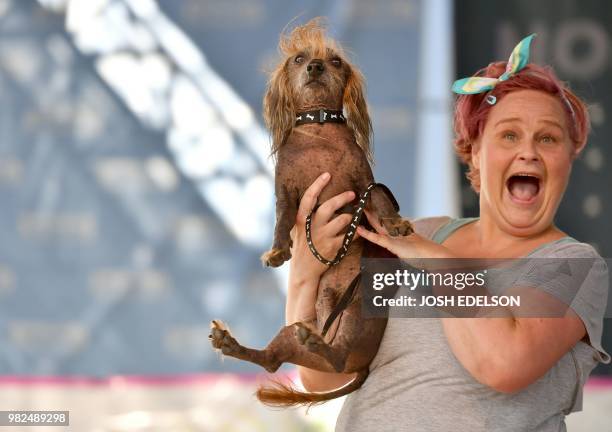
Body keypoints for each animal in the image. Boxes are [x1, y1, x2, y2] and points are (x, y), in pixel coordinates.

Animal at [208, 16, 414, 406]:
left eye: (335, 61)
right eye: (299, 59)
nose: (316, 67)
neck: (319, 129)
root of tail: (361, 365)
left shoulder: (365, 185)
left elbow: (380, 201)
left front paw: (395, 224)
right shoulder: (287, 196)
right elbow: (281, 222)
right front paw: (277, 251)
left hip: (358, 306)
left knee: (336, 356)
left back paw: (317, 343)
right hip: (294, 331)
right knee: (274, 360)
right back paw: (236, 344)